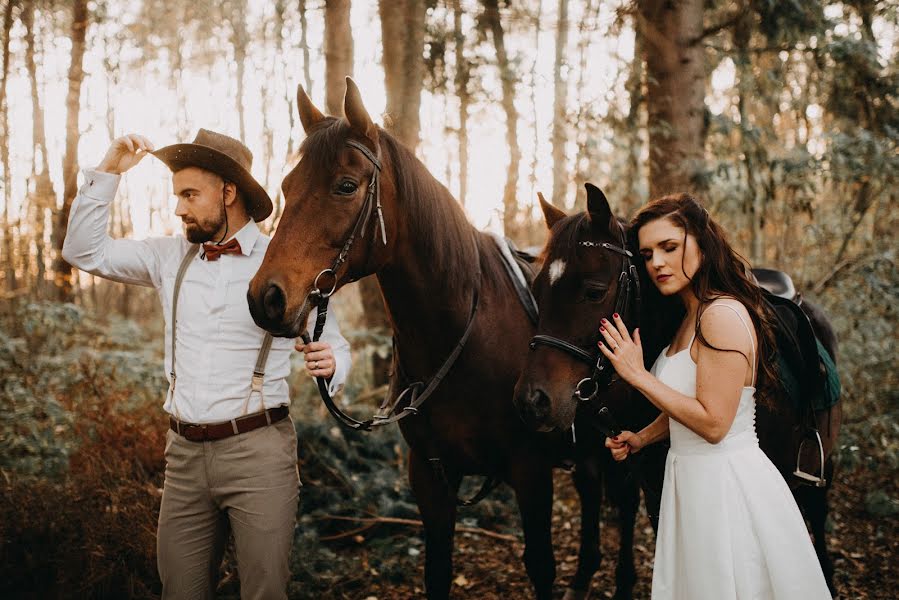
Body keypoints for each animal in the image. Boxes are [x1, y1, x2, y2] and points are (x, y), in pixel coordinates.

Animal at [248, 81, 640, 600]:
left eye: (346, 186)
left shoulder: (530, 472)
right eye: (287, 188)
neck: (461, 340)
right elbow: (437, 568)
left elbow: (540, 565)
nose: (266, 297)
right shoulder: (430, 477)